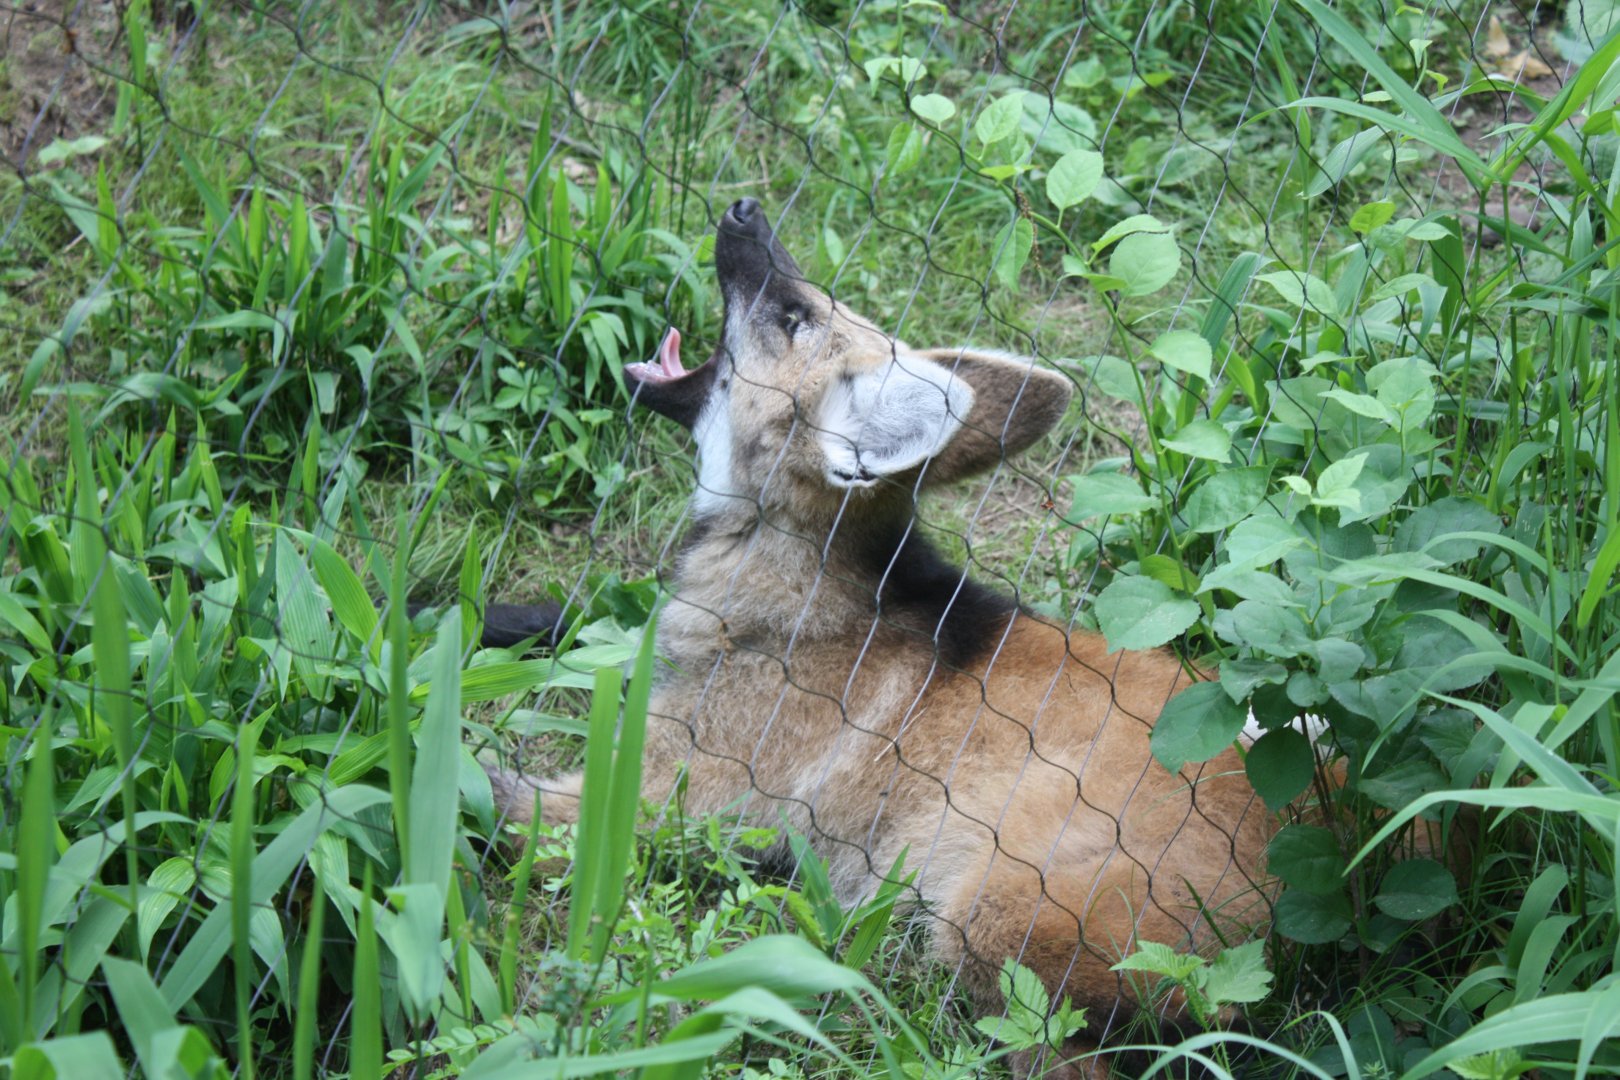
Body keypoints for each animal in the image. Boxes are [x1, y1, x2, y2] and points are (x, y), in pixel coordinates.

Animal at [488, 198, 1276, 1075]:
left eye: (791, 316)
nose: (745, 211)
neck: (789, 573)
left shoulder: (664, 787)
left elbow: (489, 798)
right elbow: (582, 630)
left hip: (992, 908)